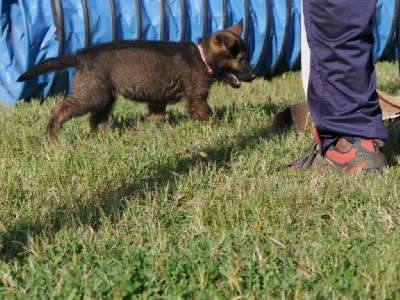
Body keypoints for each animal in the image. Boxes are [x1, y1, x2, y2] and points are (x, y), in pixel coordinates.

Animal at [17, 21, 255, 141]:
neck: (203, 57)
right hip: (93, 94)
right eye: (240, 59)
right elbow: (210, 115)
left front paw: (140, 124)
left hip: (105, 96)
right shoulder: (196, 99)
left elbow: (158, 116)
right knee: (61, 109)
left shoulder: (157, 100)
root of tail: (82, 55)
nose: (253, 75)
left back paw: (105, 136)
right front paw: (224, 128)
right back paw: (52, 136)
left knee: (96, 119)